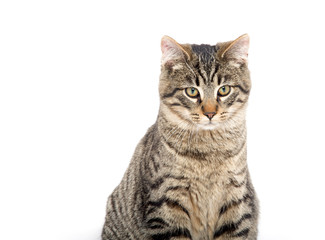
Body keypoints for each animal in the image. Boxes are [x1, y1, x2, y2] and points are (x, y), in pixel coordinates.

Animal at [101, 34, 258, 240]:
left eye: (224, 90)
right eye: (192, 91)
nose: (210, 113)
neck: (209, 151)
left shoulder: (236, 199)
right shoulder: (165, 203)